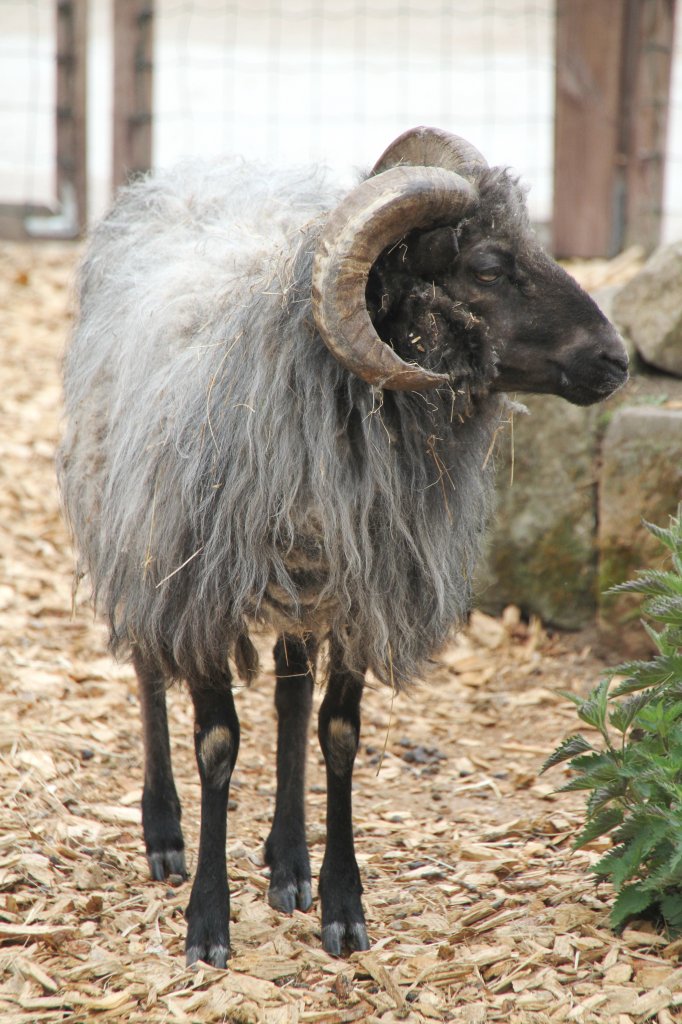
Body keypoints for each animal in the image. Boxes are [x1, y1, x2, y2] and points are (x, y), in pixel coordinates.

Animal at [58, 123, 626, 962]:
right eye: (488, 266)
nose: (616, 359)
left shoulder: (364, 588)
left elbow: (338, 732)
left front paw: (340, 901)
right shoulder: (198, 585)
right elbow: (218, 744)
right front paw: (208, 921)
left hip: (299, 581)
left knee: (292, 698)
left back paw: (287, 859)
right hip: (136, 531)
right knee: (149, 669)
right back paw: (163, 832)